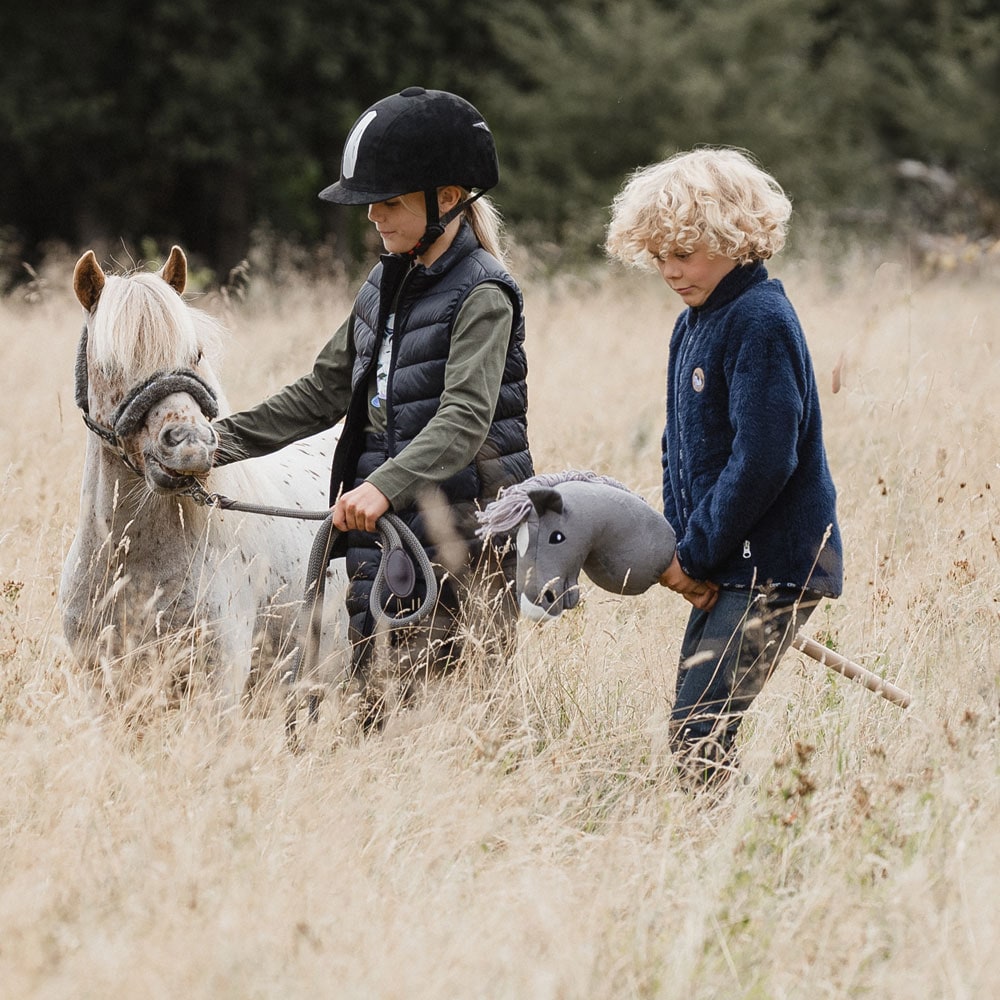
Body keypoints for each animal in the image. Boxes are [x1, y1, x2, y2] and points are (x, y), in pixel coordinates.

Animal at [59, 248, 348, 720]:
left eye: (195, 353)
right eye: (110, 365)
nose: (191, 444)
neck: (133, 567)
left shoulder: (217, 690)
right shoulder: (100, 688)